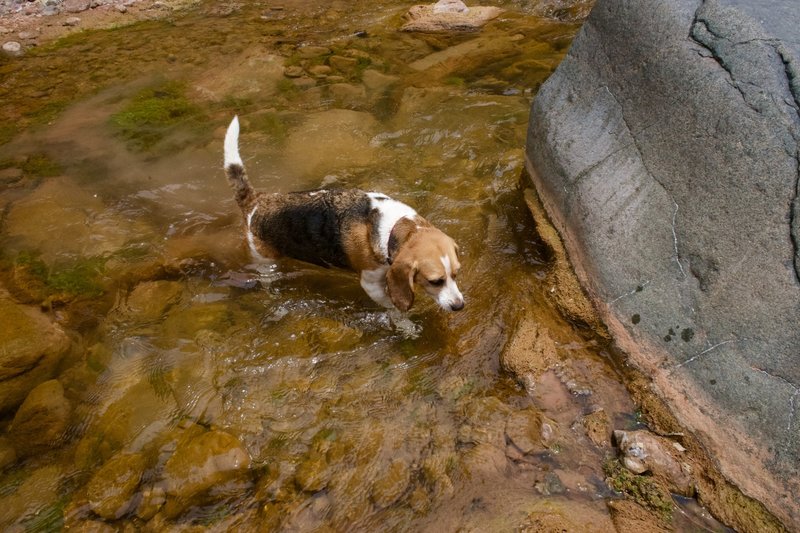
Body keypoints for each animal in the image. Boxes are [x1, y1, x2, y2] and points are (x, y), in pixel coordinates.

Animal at [222, 114, 466, 310]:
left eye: (456, 274)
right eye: (435, 281)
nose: (459, 306)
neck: (393, 229)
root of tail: (257, 200)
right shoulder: (371, 284)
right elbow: (393, 307)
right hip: (265, 261)